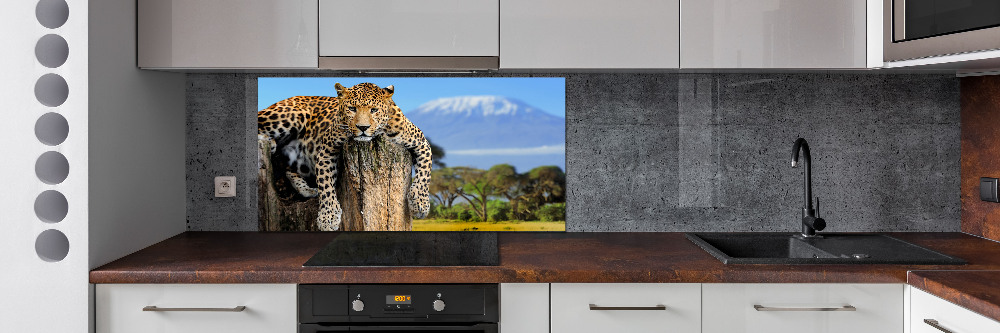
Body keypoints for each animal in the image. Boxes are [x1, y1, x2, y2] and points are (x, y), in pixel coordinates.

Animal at [256, 81, 432, 230]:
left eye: (374, 110)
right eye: (352, 109)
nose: (362, 127)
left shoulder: (421, 142)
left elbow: (425, 173)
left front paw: (420, 203)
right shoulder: (326, 148)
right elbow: (326, 183)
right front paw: (328, 217)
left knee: (288, 169)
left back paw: (308, 189)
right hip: (292, 114)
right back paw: (268, 141)